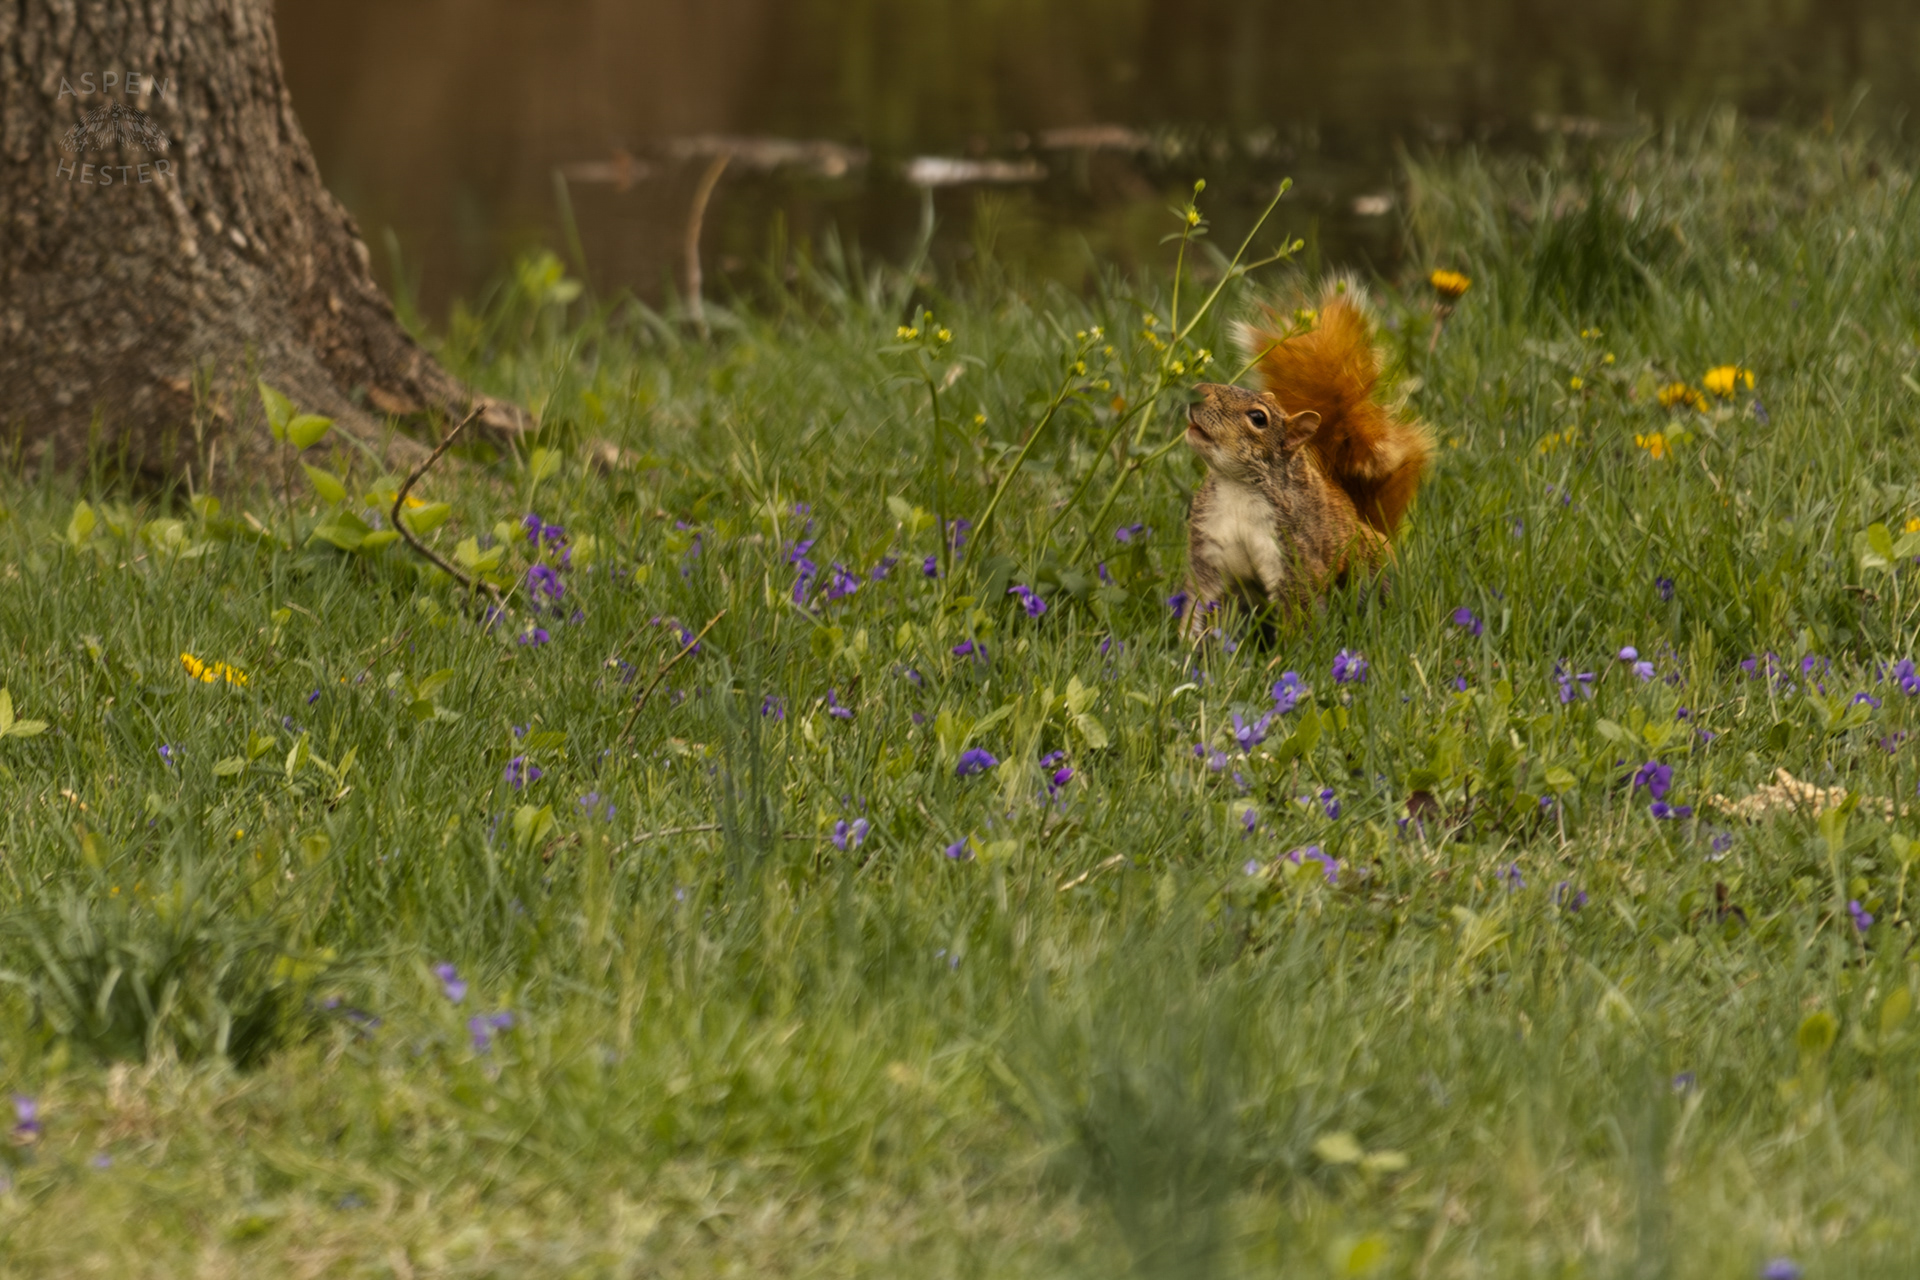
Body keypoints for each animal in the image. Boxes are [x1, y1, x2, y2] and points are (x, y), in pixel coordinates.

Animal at [1182, 280, 1429, 629]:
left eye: (1258, 418)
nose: (1197, 391)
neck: (1238, 487)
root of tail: (1366, 521)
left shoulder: (1295, 561)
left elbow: (1298, 616)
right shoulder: (1209, 555)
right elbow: (1197, 608)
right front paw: (1186, 645)